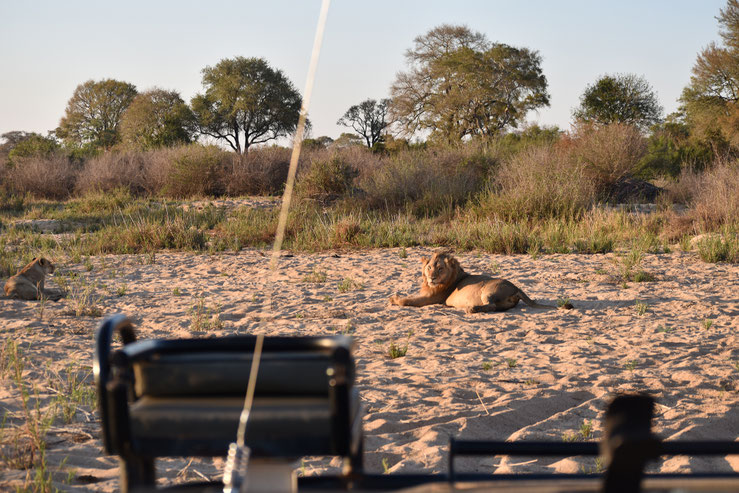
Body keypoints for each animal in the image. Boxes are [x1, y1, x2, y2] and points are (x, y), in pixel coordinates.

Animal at [389, 251, 569, 314]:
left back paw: (472, 309)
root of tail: (516, 288)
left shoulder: (431, 298)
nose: (432, 277)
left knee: (492, 306)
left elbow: (407, 300)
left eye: (440, 268)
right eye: (429, 267)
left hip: (488, 290)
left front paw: (393, 299)